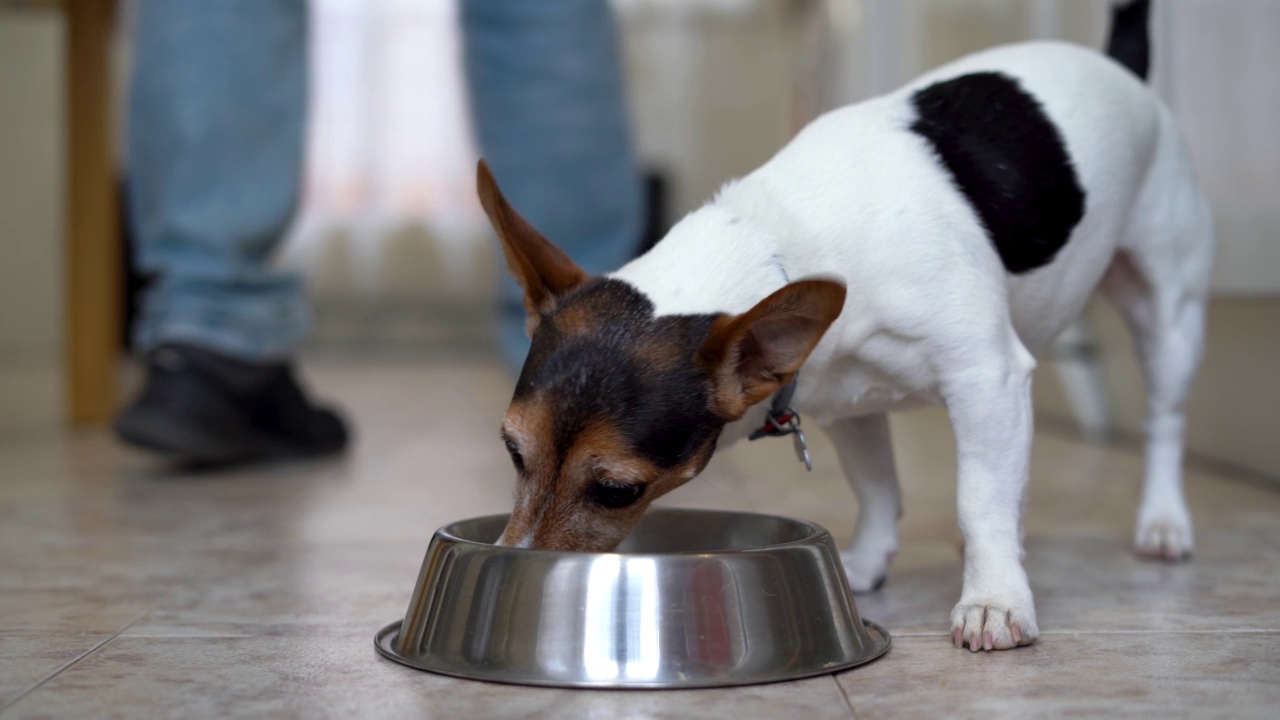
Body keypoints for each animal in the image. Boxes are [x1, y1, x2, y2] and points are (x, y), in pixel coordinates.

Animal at [478, 0, 1208, 650]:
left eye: (615, 491)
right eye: (513, 452)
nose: (517, 565)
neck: (778, 238)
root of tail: (1119, 64)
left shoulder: (988, 379)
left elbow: (978, 498)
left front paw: (995, 600)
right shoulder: (848, 400)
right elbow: (879, 486)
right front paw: (865, 562)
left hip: (1168, 309)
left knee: (1164, 421)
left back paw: (1162, 522)